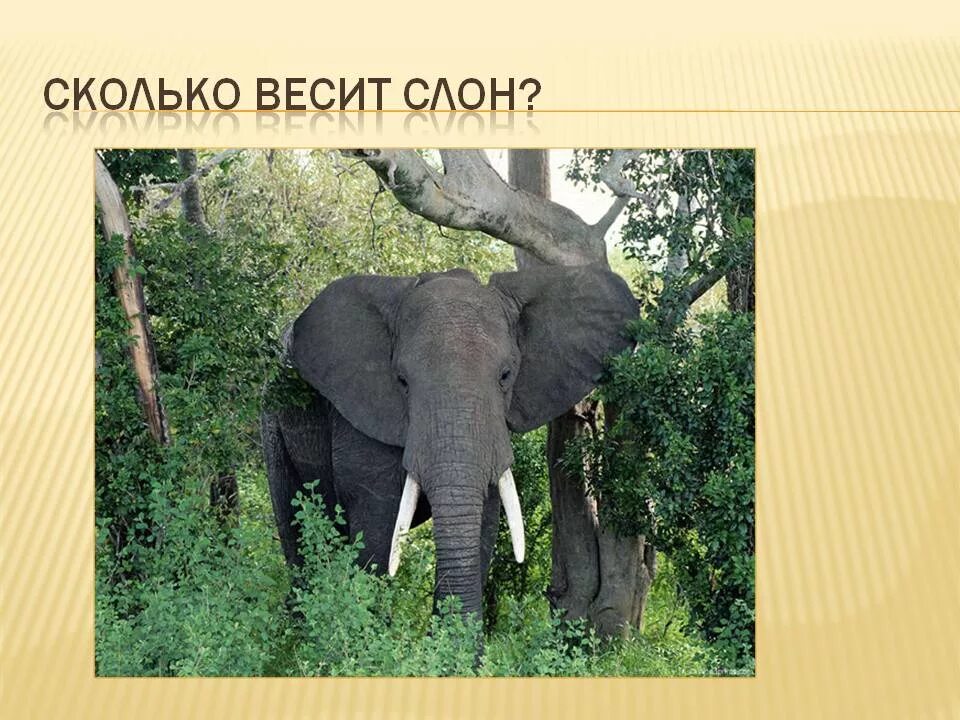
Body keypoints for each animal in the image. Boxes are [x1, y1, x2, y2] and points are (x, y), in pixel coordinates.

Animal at [261, 263, 638, 619]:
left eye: (506, 376)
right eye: (402, 381)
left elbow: (483, 522)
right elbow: (377, 531)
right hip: (272, 420)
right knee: (298, 532)